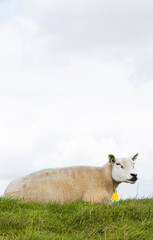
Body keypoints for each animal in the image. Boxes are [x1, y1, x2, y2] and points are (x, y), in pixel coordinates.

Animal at [3, 155, 138, 203]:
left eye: (134, 164)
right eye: (118, 164)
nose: (134, 175)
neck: (104, 177)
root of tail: (6, 191)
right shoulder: (94, 199)